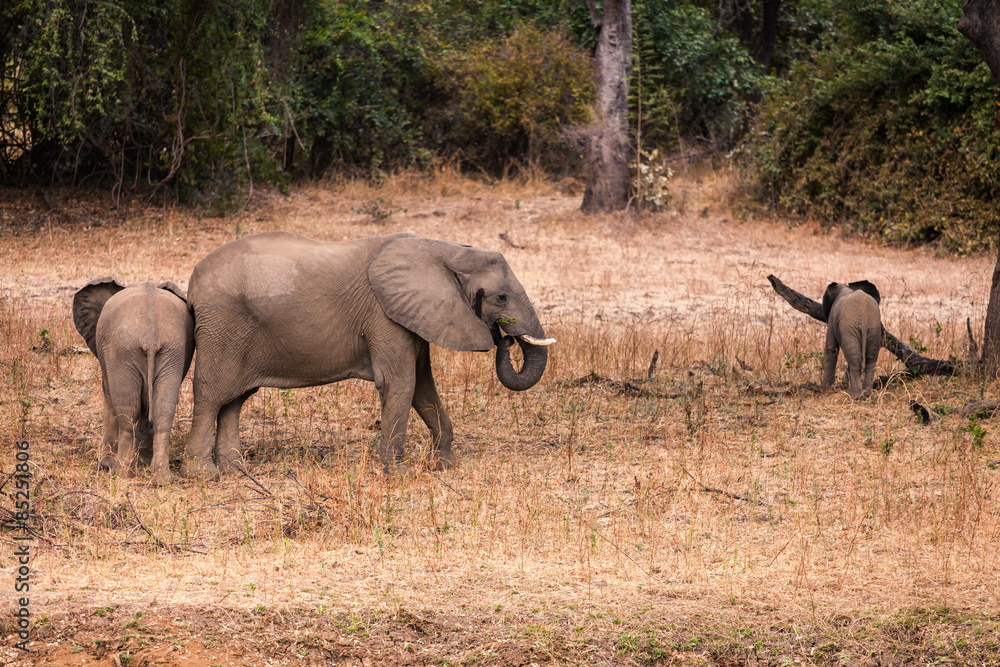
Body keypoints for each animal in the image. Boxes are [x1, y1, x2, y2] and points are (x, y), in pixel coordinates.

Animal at [73, 278, 195, 484]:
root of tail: (151, 334)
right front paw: (143, 460)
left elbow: (109, 397)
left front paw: (105, 465)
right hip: (172, 350)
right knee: (162, 410)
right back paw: (161, 479)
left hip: (122, 351)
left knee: (127, 409)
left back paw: (121, 473)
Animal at [182, 231, 555, 478]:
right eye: (501, 297)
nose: (506, 337)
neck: (444, 250)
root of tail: (193, 283)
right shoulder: (384, 315)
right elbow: (400, 383)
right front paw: (399, 474)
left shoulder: (413, 314)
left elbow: (422, 386)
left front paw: (445, 465)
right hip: (223, 327)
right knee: (212, 396)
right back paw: (203, 475)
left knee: (235, 400)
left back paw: (236, 470)